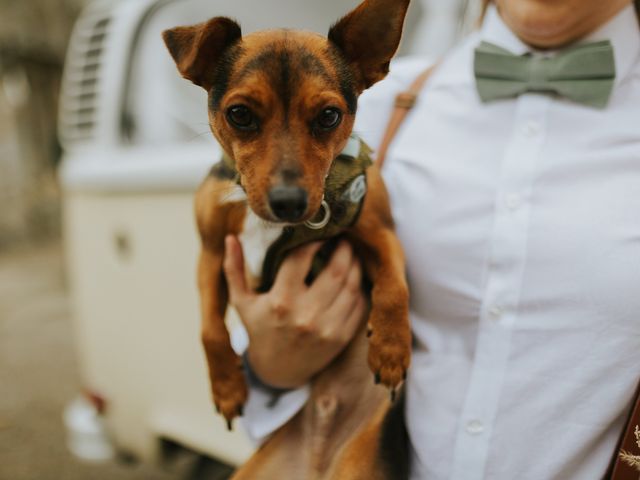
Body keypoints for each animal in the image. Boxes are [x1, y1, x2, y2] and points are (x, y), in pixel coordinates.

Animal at [162, 0, 412, 476]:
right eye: (239, 114)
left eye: (329, 116)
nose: (289, 203)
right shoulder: (210, 255)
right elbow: (210, 329)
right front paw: (227, 386)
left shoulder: (381, 231)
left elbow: (395, 288)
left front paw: (391, 350)